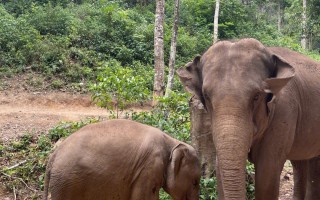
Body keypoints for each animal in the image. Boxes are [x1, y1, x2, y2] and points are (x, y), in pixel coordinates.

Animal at [178, 38, 320, 199]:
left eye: (257, 96)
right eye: (206, 96)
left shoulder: (285, 112)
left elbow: (266, 175)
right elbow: (220, 171)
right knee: (302, 161)